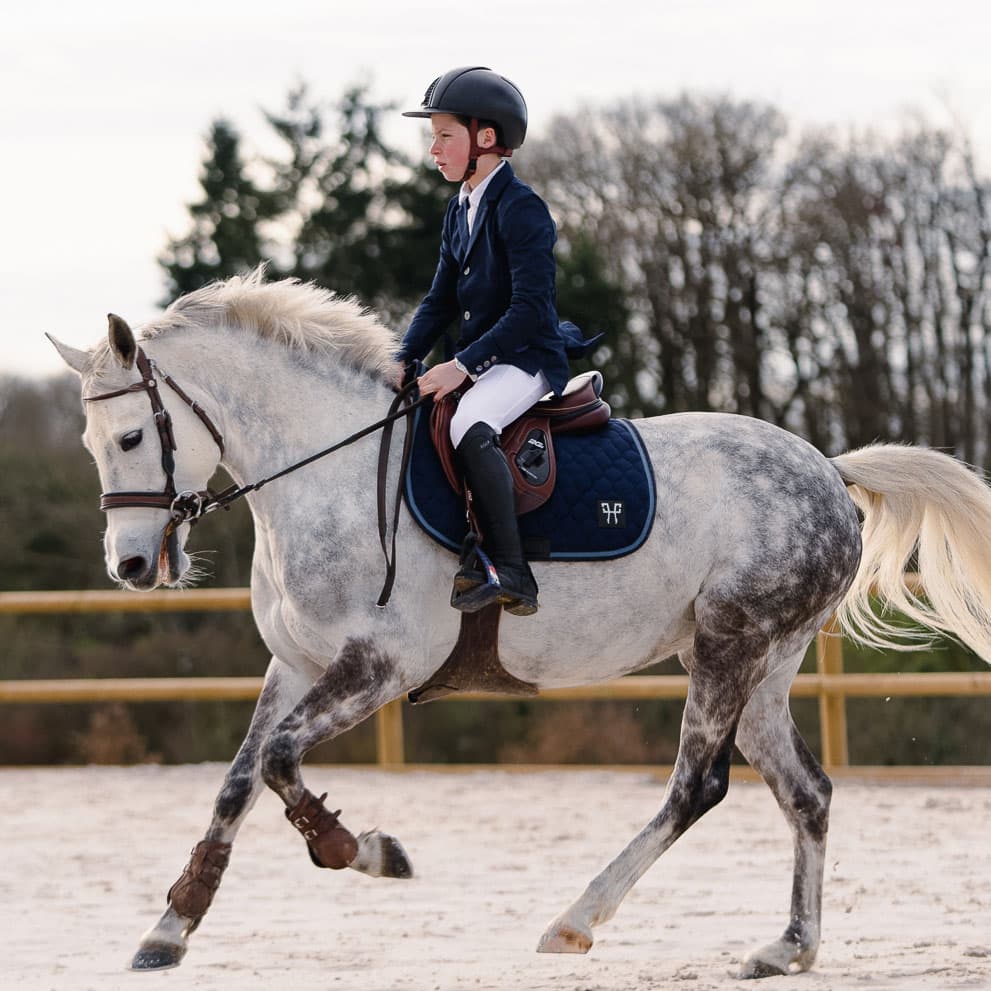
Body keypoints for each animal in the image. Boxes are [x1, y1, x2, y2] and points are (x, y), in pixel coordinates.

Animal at [50, 270, 991, 976]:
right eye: (93, 444)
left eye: (131, 437)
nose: (131, 568)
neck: (326, 472)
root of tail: (827, 469)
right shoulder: (295, 664)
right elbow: (239, 780)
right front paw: (169, 928)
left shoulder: (379, 665)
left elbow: (281, 761)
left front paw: (367, 850)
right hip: (765, 660)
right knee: (806, 790)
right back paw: (788, 946)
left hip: (728, 644)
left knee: (697, 785)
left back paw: (576, 918)